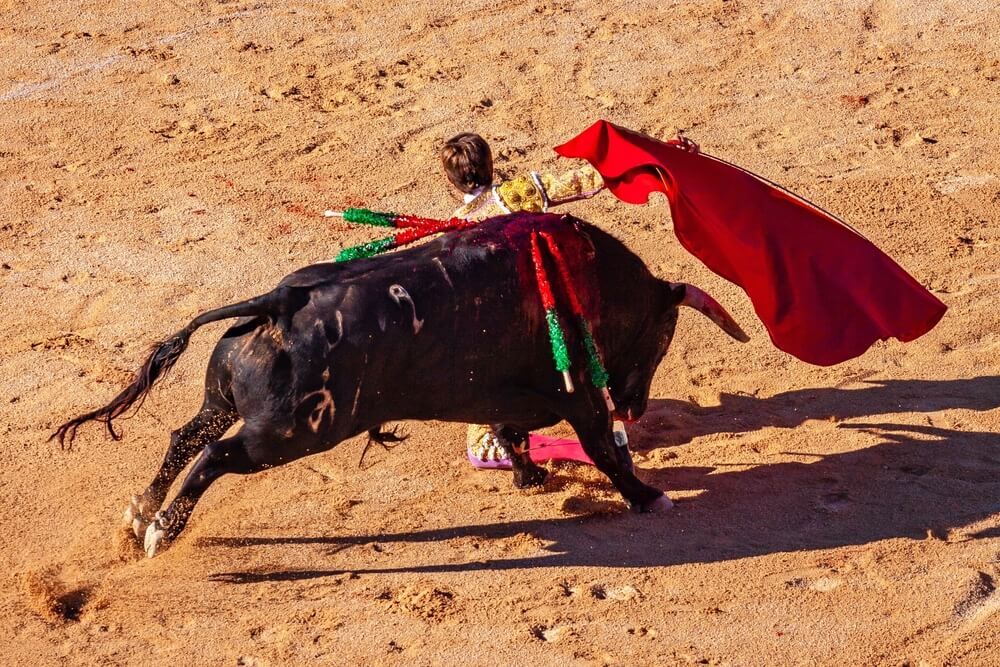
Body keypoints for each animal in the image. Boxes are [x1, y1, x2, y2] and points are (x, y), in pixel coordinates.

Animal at [52, 214, 744, 560]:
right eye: (663, 337)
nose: (637, 405)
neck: (588, 278)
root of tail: (278, 301)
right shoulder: (580, 400)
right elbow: (605, 451)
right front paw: (648, 496)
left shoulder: (508, 396)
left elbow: (513, 430)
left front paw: (529, 478)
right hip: (289, 435)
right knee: (214, 455)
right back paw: (161, 532)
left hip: (226, 400)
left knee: (185, 435)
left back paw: (139, 515)